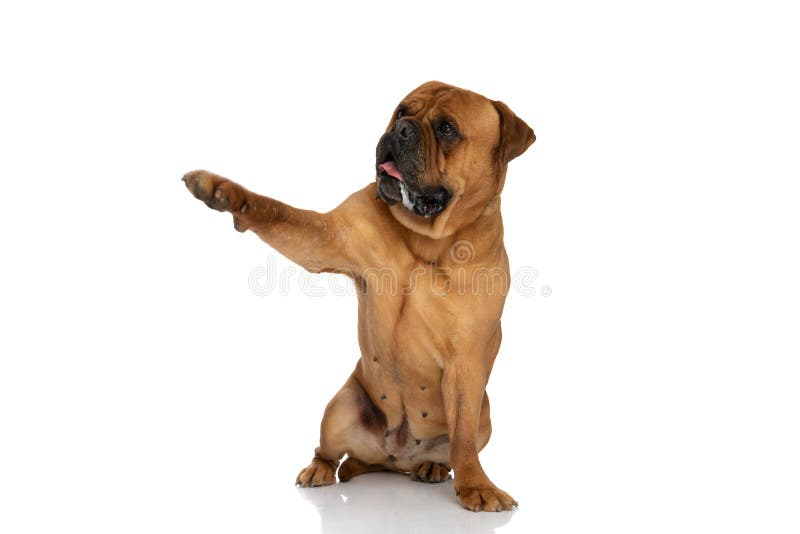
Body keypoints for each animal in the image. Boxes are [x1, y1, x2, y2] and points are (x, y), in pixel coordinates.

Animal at [180, 81, 532, 512]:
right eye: (403, 111)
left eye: (447, 128)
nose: (401, 131)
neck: (428, 238)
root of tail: (394, 459)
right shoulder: (327, 238)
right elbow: (276, 210)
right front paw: (223, 190)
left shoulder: (466, 361)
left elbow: (462, 437)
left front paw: (477, 486)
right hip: (342, 406)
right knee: (329, 451)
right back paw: (319, 470)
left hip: (486, 415)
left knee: (454, 446)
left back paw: (433, 467)